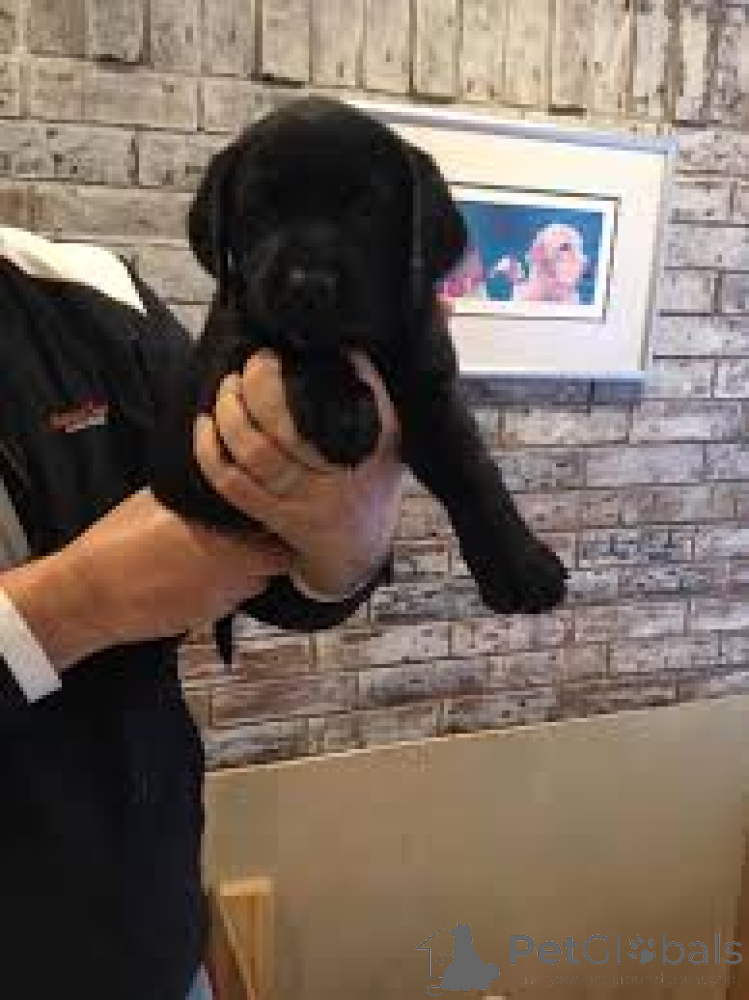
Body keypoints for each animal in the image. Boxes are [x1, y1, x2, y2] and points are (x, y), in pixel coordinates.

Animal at [149, 96, 568, 661]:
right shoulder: (228, 359)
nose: (308, 285)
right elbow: (289, 344)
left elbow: (472, 466)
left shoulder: (429, 380)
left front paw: (520, 564)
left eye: (367, 209)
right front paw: (343, 411)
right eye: (258, 208)